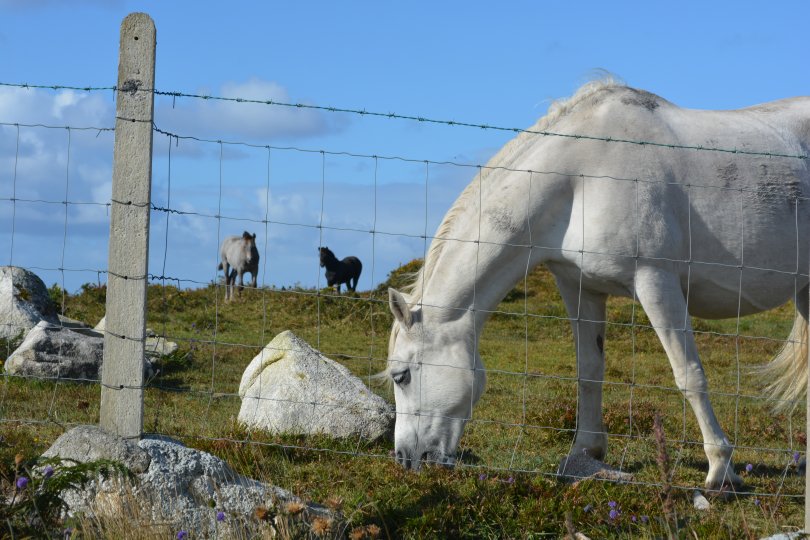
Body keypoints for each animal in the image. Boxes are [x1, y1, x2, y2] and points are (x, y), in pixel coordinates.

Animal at [384, 79, 810, 490]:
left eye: (401, 376)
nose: (406, 459)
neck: (583, 176)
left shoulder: (655, 280)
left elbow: (689, 375)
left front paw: (721, 470)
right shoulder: (580, 287)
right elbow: (589, 370)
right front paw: (586, 451)